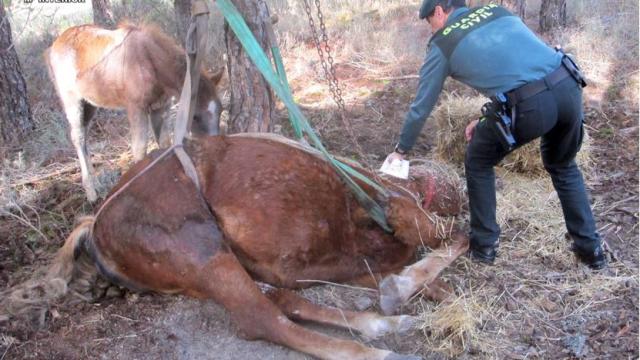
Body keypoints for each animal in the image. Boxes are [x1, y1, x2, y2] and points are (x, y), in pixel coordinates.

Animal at [2, 135, 468, 360]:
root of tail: (95, 223)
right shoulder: (409, 221)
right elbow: (456, 240)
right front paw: (403, 289)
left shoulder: (355, 263)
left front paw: (410, 292)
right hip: (205, 251)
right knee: (261, 320)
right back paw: (381, 351)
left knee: (282, 302)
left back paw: (382, 325)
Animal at [46, 23, 224, 201]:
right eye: (195, 116)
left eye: (221, 110)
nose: (216, 148)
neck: (150, 62)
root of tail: (53, 47)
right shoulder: (135, 108)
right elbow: (139, 149)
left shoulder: (160, 107)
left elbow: (164, 144)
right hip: (72, 101)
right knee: (77, 136)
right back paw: (91, 192)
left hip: (89, 103)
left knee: (84, 136)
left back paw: (96, 184)